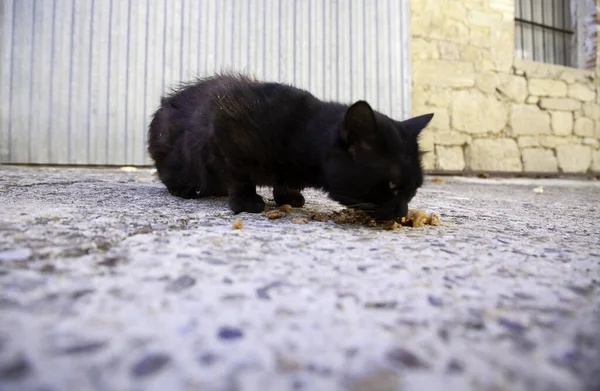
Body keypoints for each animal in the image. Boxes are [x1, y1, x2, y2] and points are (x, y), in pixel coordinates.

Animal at [148, 73, 434, 220]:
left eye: (414, 189)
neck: (302, 134)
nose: (402, 213)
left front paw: (287, 194)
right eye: (392, 185)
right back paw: (184, 189)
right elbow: (240, 176)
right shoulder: (224, 126)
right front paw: (246, 201)